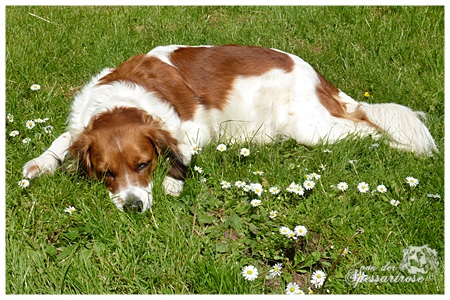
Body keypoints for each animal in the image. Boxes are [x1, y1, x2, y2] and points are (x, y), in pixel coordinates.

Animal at [21, 45, 436, 213]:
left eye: (143, 165)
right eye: (106, 174)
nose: (133, 207)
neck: (122, 98)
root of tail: (320, 80)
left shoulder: (194, 128)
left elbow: (183, 153)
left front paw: (173, 182)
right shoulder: (81, 124)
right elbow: (63, 139)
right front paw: (41, 163)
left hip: (312, 128)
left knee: (369, 128)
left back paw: (402, 151)